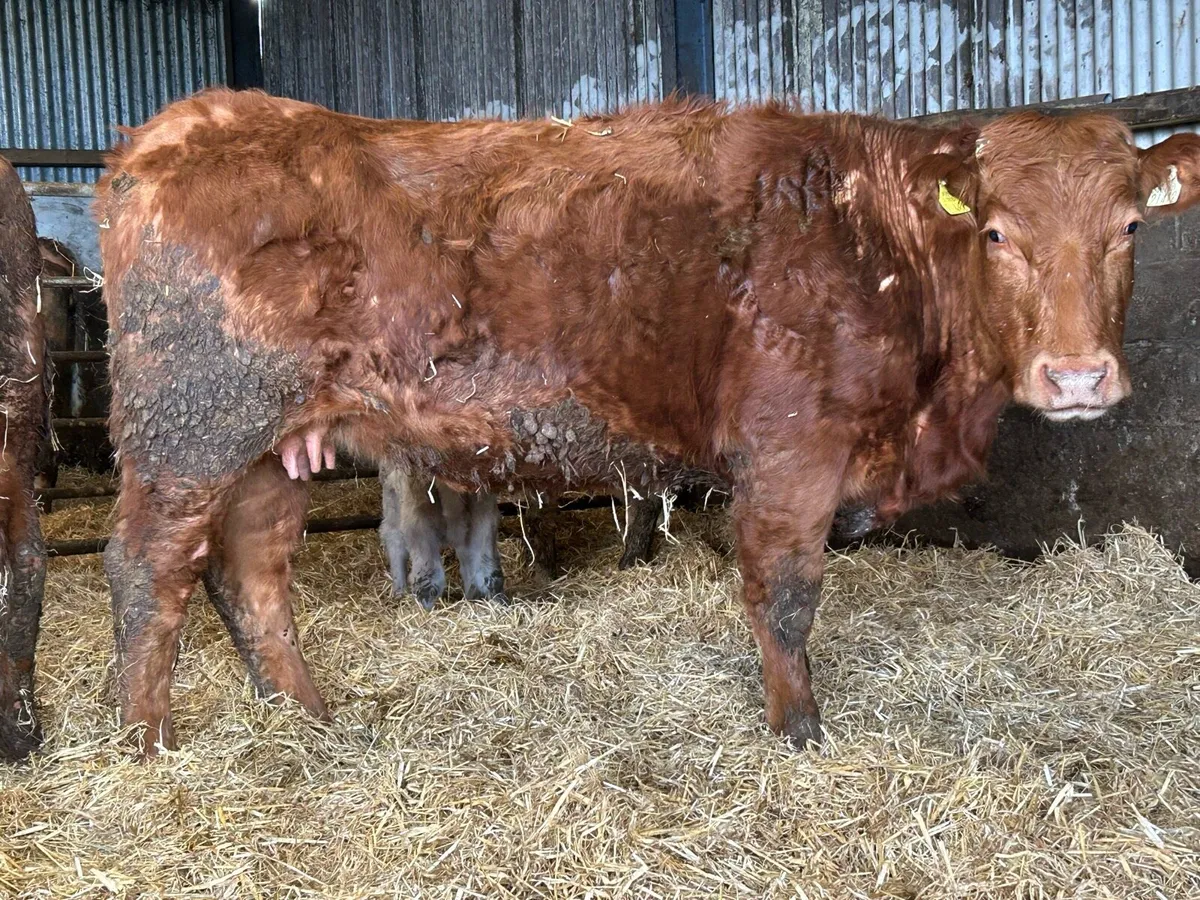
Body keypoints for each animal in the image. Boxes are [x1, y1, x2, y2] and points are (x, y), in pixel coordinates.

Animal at [95, 88, 1200, 755]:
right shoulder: (792, 453)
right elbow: (785, 595)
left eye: (1129, 226)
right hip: (187, 429)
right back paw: (147, 743)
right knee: (150, 568)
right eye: (999, 232)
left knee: (250, 572)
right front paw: (800, 733)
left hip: (274, 445)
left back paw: (308, 719)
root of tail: (179, 128)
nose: (1076, 375)